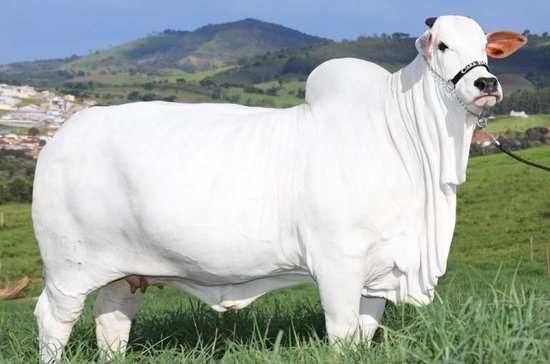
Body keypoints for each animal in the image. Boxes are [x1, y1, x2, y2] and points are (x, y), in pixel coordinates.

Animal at [33, 15, 528, 360]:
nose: (487, 82)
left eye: (486, 48)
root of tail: (62, 134)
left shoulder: (379, 273)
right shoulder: (337, 264)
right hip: (68, 268)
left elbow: (364, 334)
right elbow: (343, 335)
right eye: (442, 44)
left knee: (112, 320)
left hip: (126, 271)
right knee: (53, 320)